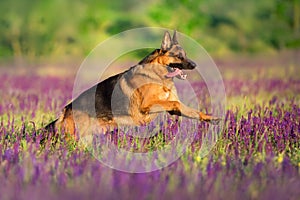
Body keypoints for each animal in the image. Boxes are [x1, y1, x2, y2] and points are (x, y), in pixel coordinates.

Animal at [43, 30, 219, 143]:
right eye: (178, 56)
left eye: (186, 55)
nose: (195, 65)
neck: (158, 76)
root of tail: (65, 110)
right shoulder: (147, 106)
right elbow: (174, 102)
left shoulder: (172, 107)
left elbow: (191, 111)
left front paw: (210, 118)